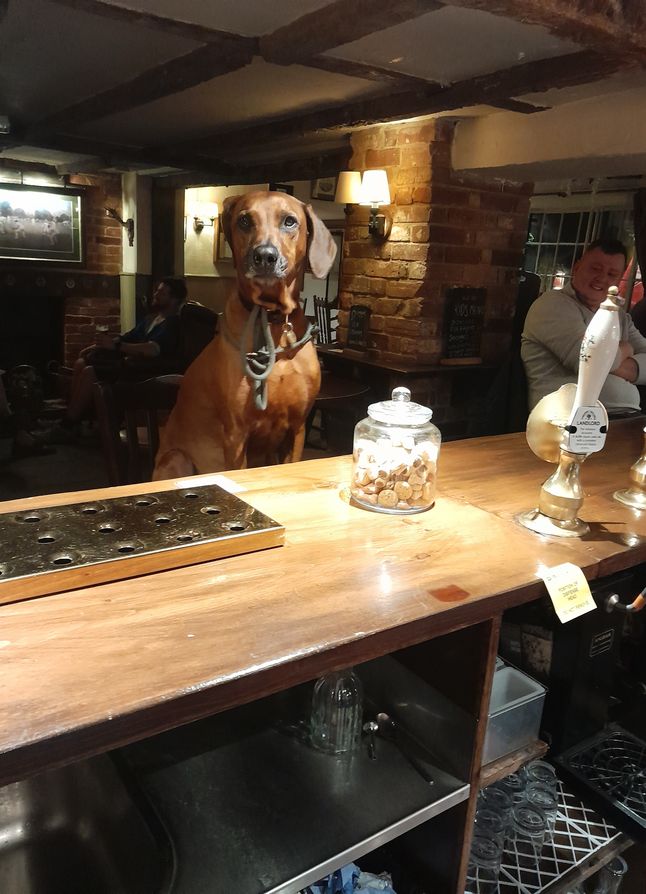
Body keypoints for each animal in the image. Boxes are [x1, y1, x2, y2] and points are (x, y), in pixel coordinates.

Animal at [153, 192, 340, 480]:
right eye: (244, 221)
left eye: (289, 221)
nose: (264, 256)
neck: (272, 321)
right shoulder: (236, 435)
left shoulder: (297, 428)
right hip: (176, 458)